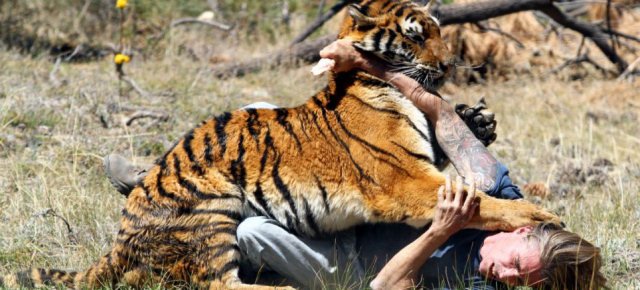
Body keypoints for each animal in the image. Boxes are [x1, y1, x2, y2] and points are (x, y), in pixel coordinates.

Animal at [0, 0, 560, 288]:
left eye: (439, 32)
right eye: (415, 34)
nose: (447, 66)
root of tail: (119, 236)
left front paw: (477, 120)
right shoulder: (408, 184)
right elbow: (486, 203)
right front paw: (542, 215)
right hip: (213, 216)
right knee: (219, 285)